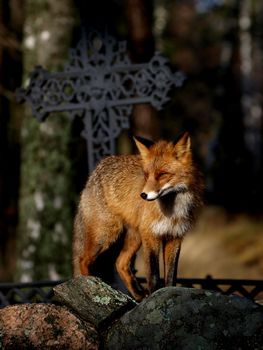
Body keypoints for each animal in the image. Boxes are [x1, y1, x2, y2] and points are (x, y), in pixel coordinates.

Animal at [73, 133, 205, 302]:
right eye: (147, 175)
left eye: (163, 174)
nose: (143, 195)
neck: (172, 209)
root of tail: (95, 171)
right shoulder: (150, 234)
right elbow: (154, 275)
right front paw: (155, 295)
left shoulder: (175, 236)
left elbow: (171, 276)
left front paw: (167, 293)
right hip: (106, 235)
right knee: (83, 259)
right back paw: (89, 284)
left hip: (134, 237)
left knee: (120, 263)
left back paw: (138, 294)